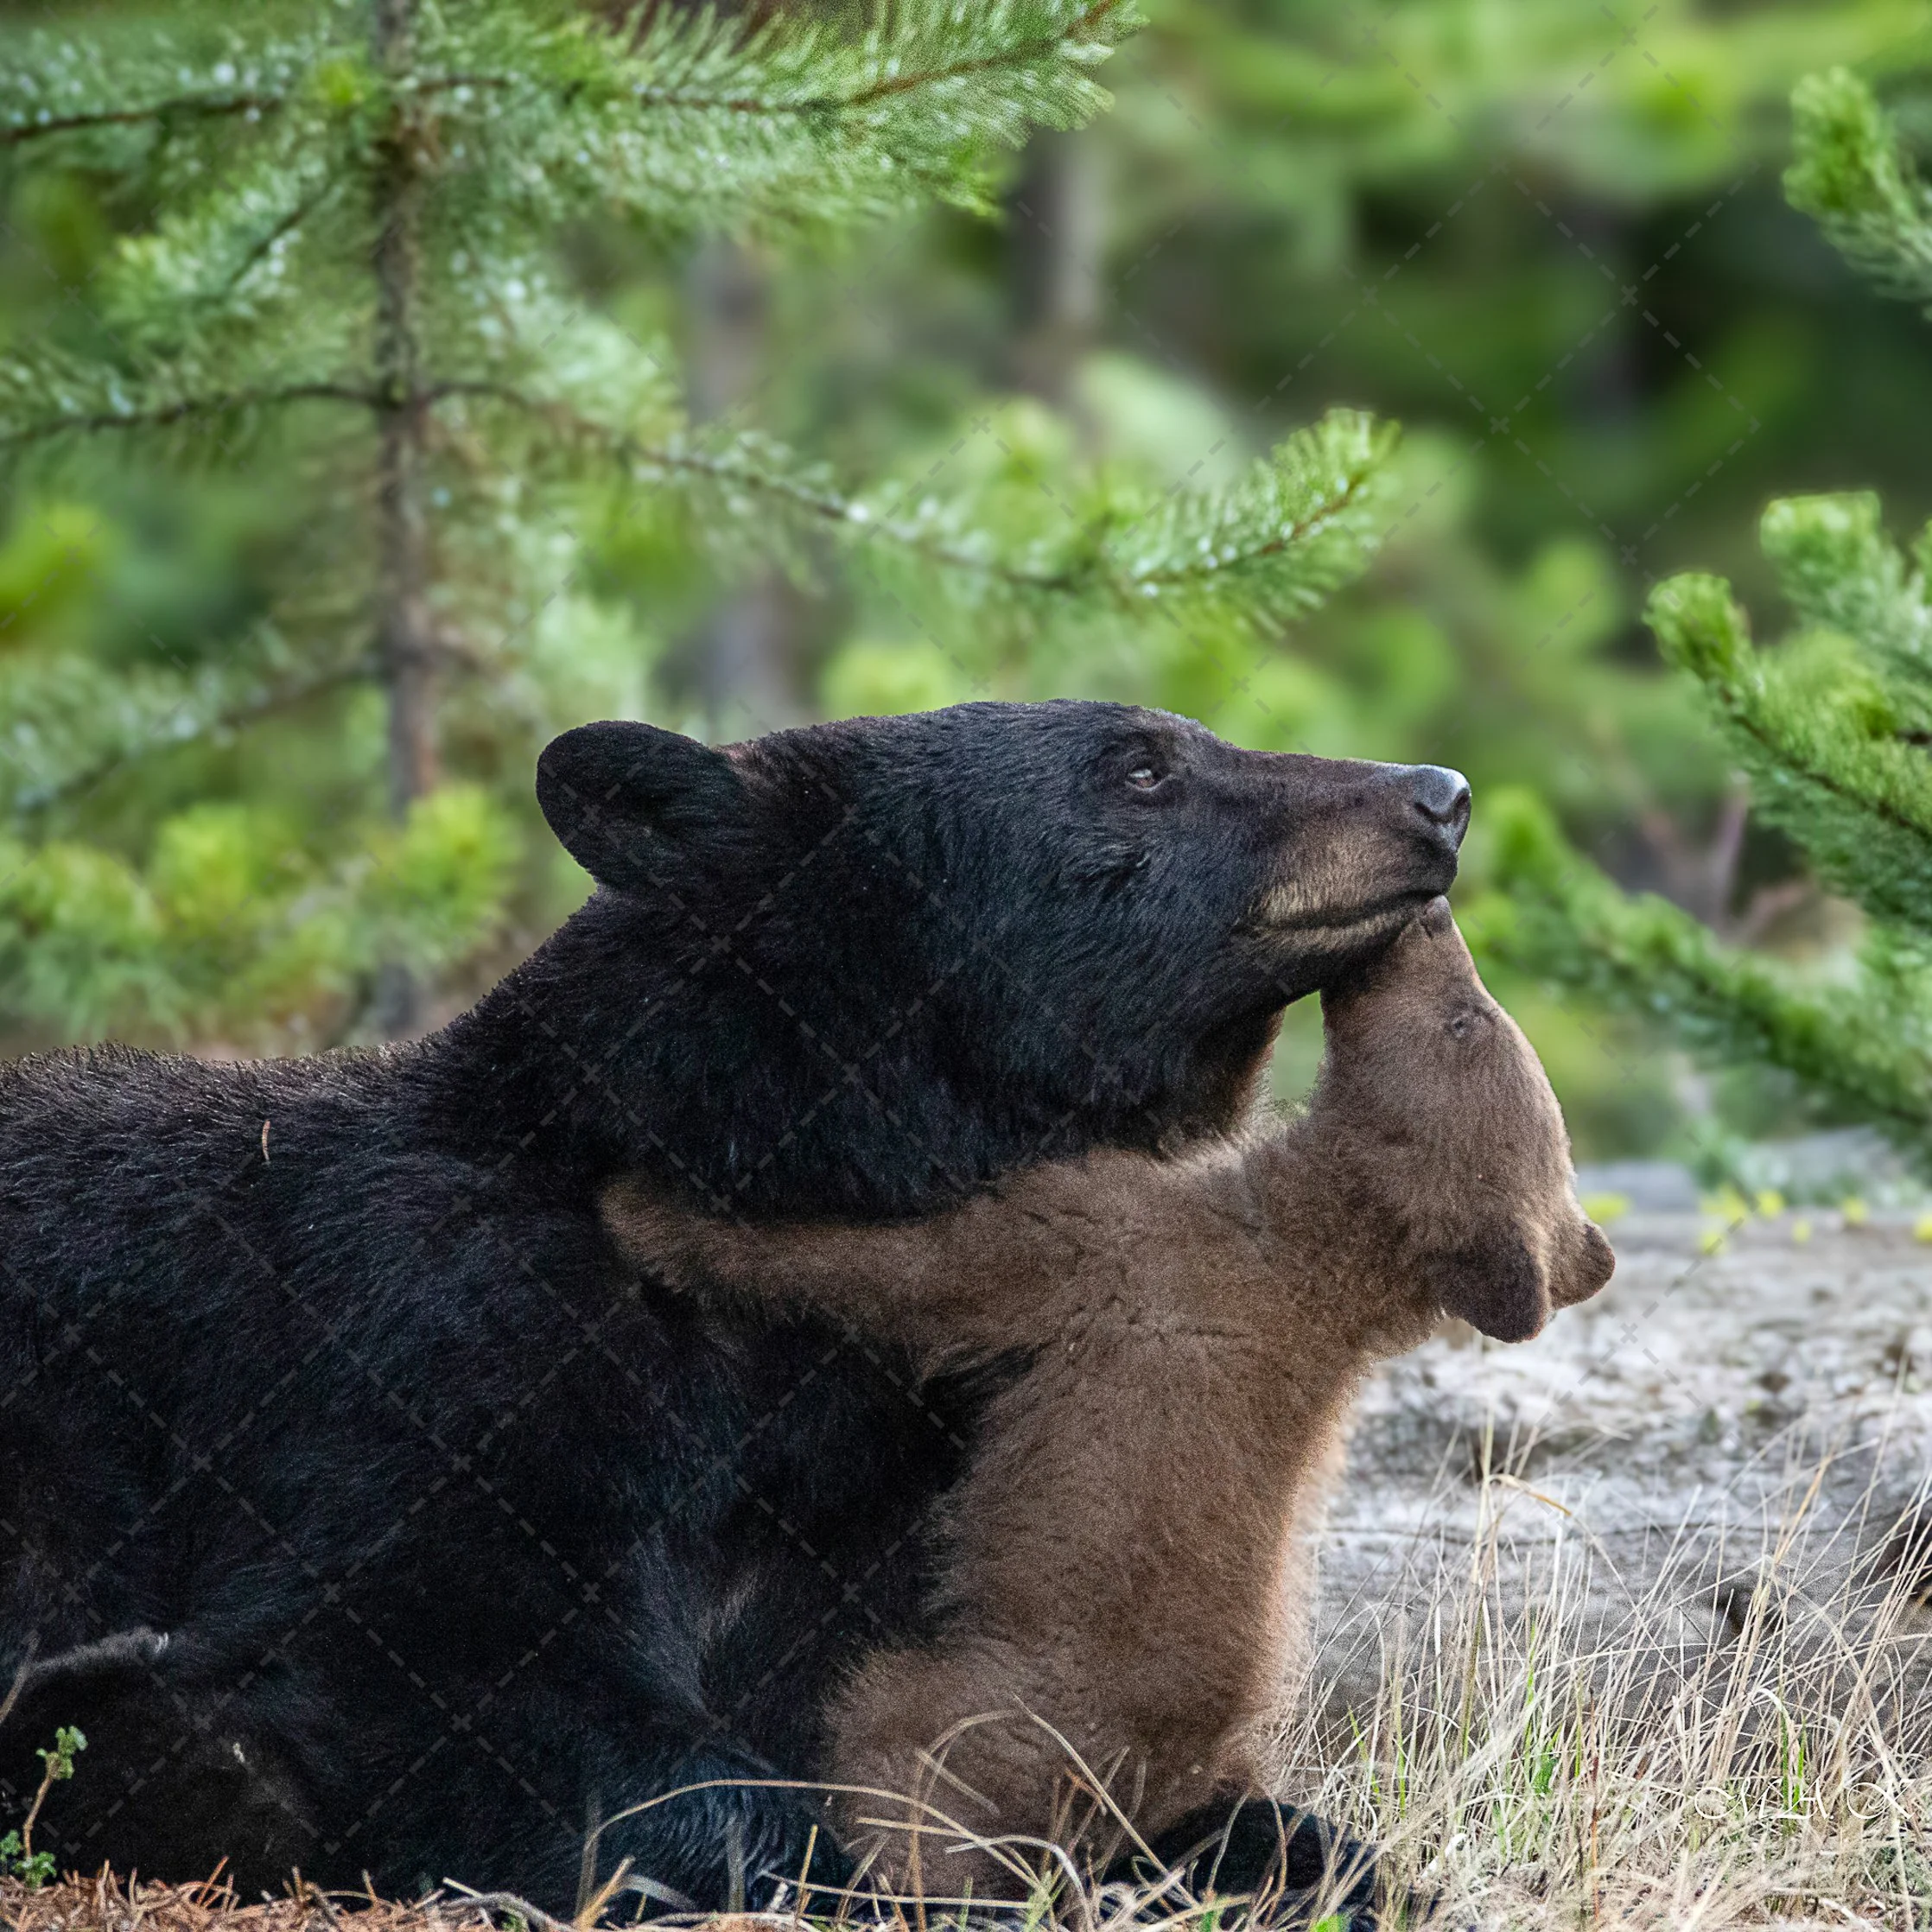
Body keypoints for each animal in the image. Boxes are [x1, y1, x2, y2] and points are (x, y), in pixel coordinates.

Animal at [0, 701, 1471, 1916]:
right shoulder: (427, 1336)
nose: (1437, 793)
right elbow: (446, 1654)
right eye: (1142, 767)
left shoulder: (900, 1458)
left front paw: (1290, 1855)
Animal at [602, 897, 1616, 1911]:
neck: (1313, 1238)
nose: (1434, 916)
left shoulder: (1119, 1246)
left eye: (1467, 1021)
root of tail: (1111, 1822)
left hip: (963, 1715)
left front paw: (649, 1211)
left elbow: (917, 1269)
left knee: (888, 1766)